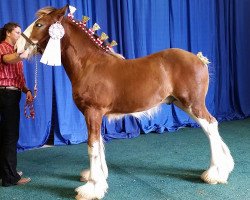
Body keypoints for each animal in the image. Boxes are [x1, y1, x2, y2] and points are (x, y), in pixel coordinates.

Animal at [16, 5, 233, 200]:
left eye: (39, 24)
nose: (18, 47)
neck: (89, 65)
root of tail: (199, 60)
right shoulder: (96, 115)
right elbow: (99, 144)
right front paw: (99, 177)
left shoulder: (93, 112)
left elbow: (92, 146)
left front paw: (92, 188)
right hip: (182, 104)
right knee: (211, 126)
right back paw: (224, 167)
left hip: (192, 104)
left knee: (211, 127)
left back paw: (214, 173)